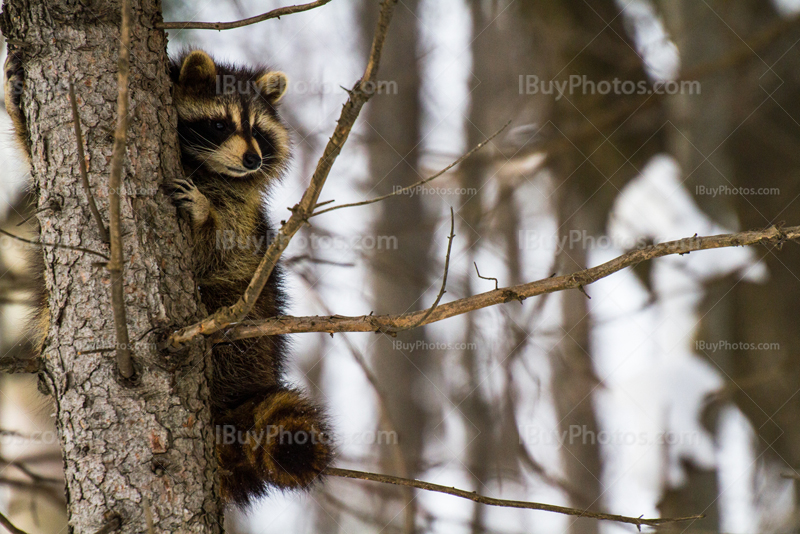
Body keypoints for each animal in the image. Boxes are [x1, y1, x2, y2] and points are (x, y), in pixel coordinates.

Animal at [4, 49, 332, 506]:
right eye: (220, 124)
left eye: (258, 132)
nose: (253, 160)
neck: (205, 167)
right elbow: (33, 155)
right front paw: (16, 98)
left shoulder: (241, 209)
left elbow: (221, 248)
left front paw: (203, 217)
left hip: (249, 318)